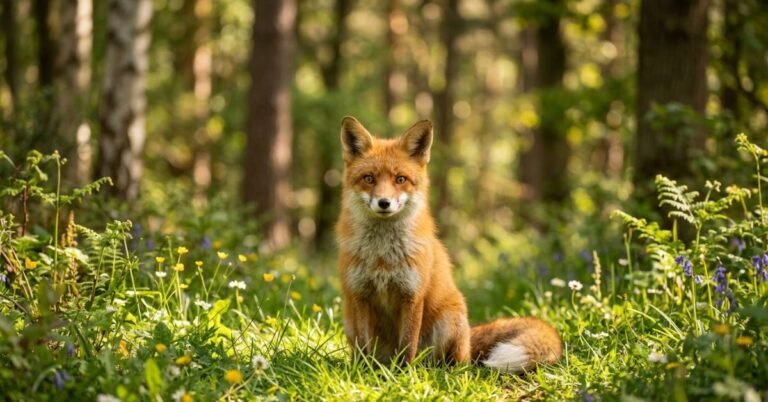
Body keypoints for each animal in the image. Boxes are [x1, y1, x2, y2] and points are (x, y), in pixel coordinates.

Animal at [336, 116, 562, 373]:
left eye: (400, 179)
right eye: (369, 178)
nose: (384, 203)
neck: (383, 257)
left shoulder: (412, 295)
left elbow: (407, 344)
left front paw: (403, 374)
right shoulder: (360, 295)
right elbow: (365, 347)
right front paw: (362, 373)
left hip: (450, 320)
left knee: (455, 363)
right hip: (349, 320)